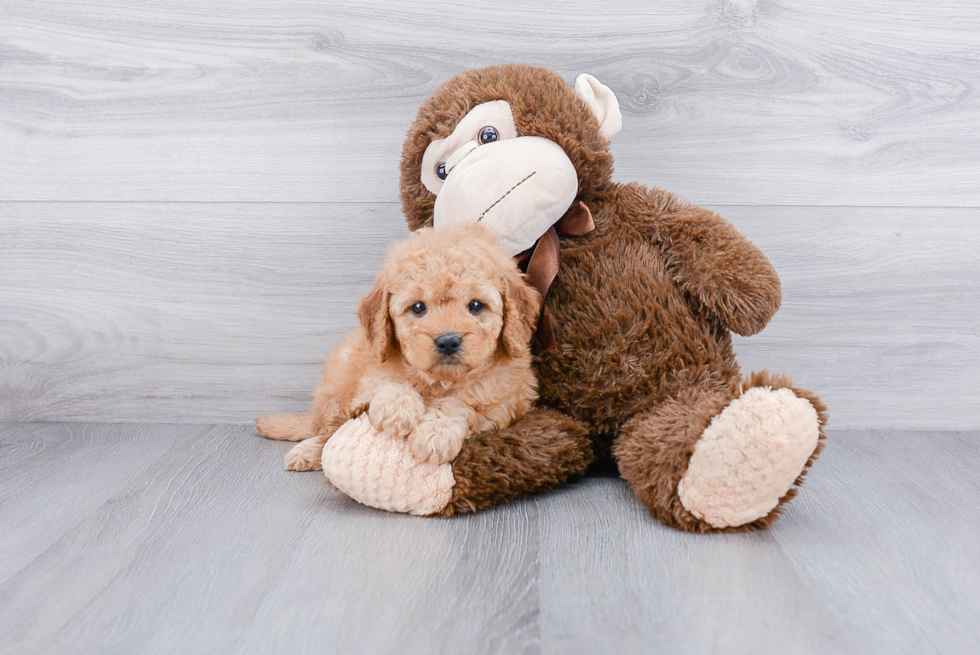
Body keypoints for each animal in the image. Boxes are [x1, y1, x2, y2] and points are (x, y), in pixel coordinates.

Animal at [256, 224, 540, 472]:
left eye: (476, 305)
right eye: (418, 307)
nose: (448, 341)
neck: (439, 381)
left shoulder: (501, 407)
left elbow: (459, 405)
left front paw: (434, 434)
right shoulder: (370, 375)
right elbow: (389, 384)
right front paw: (397, 410)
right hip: (335, 384)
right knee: (328, 431)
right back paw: (307, 452)